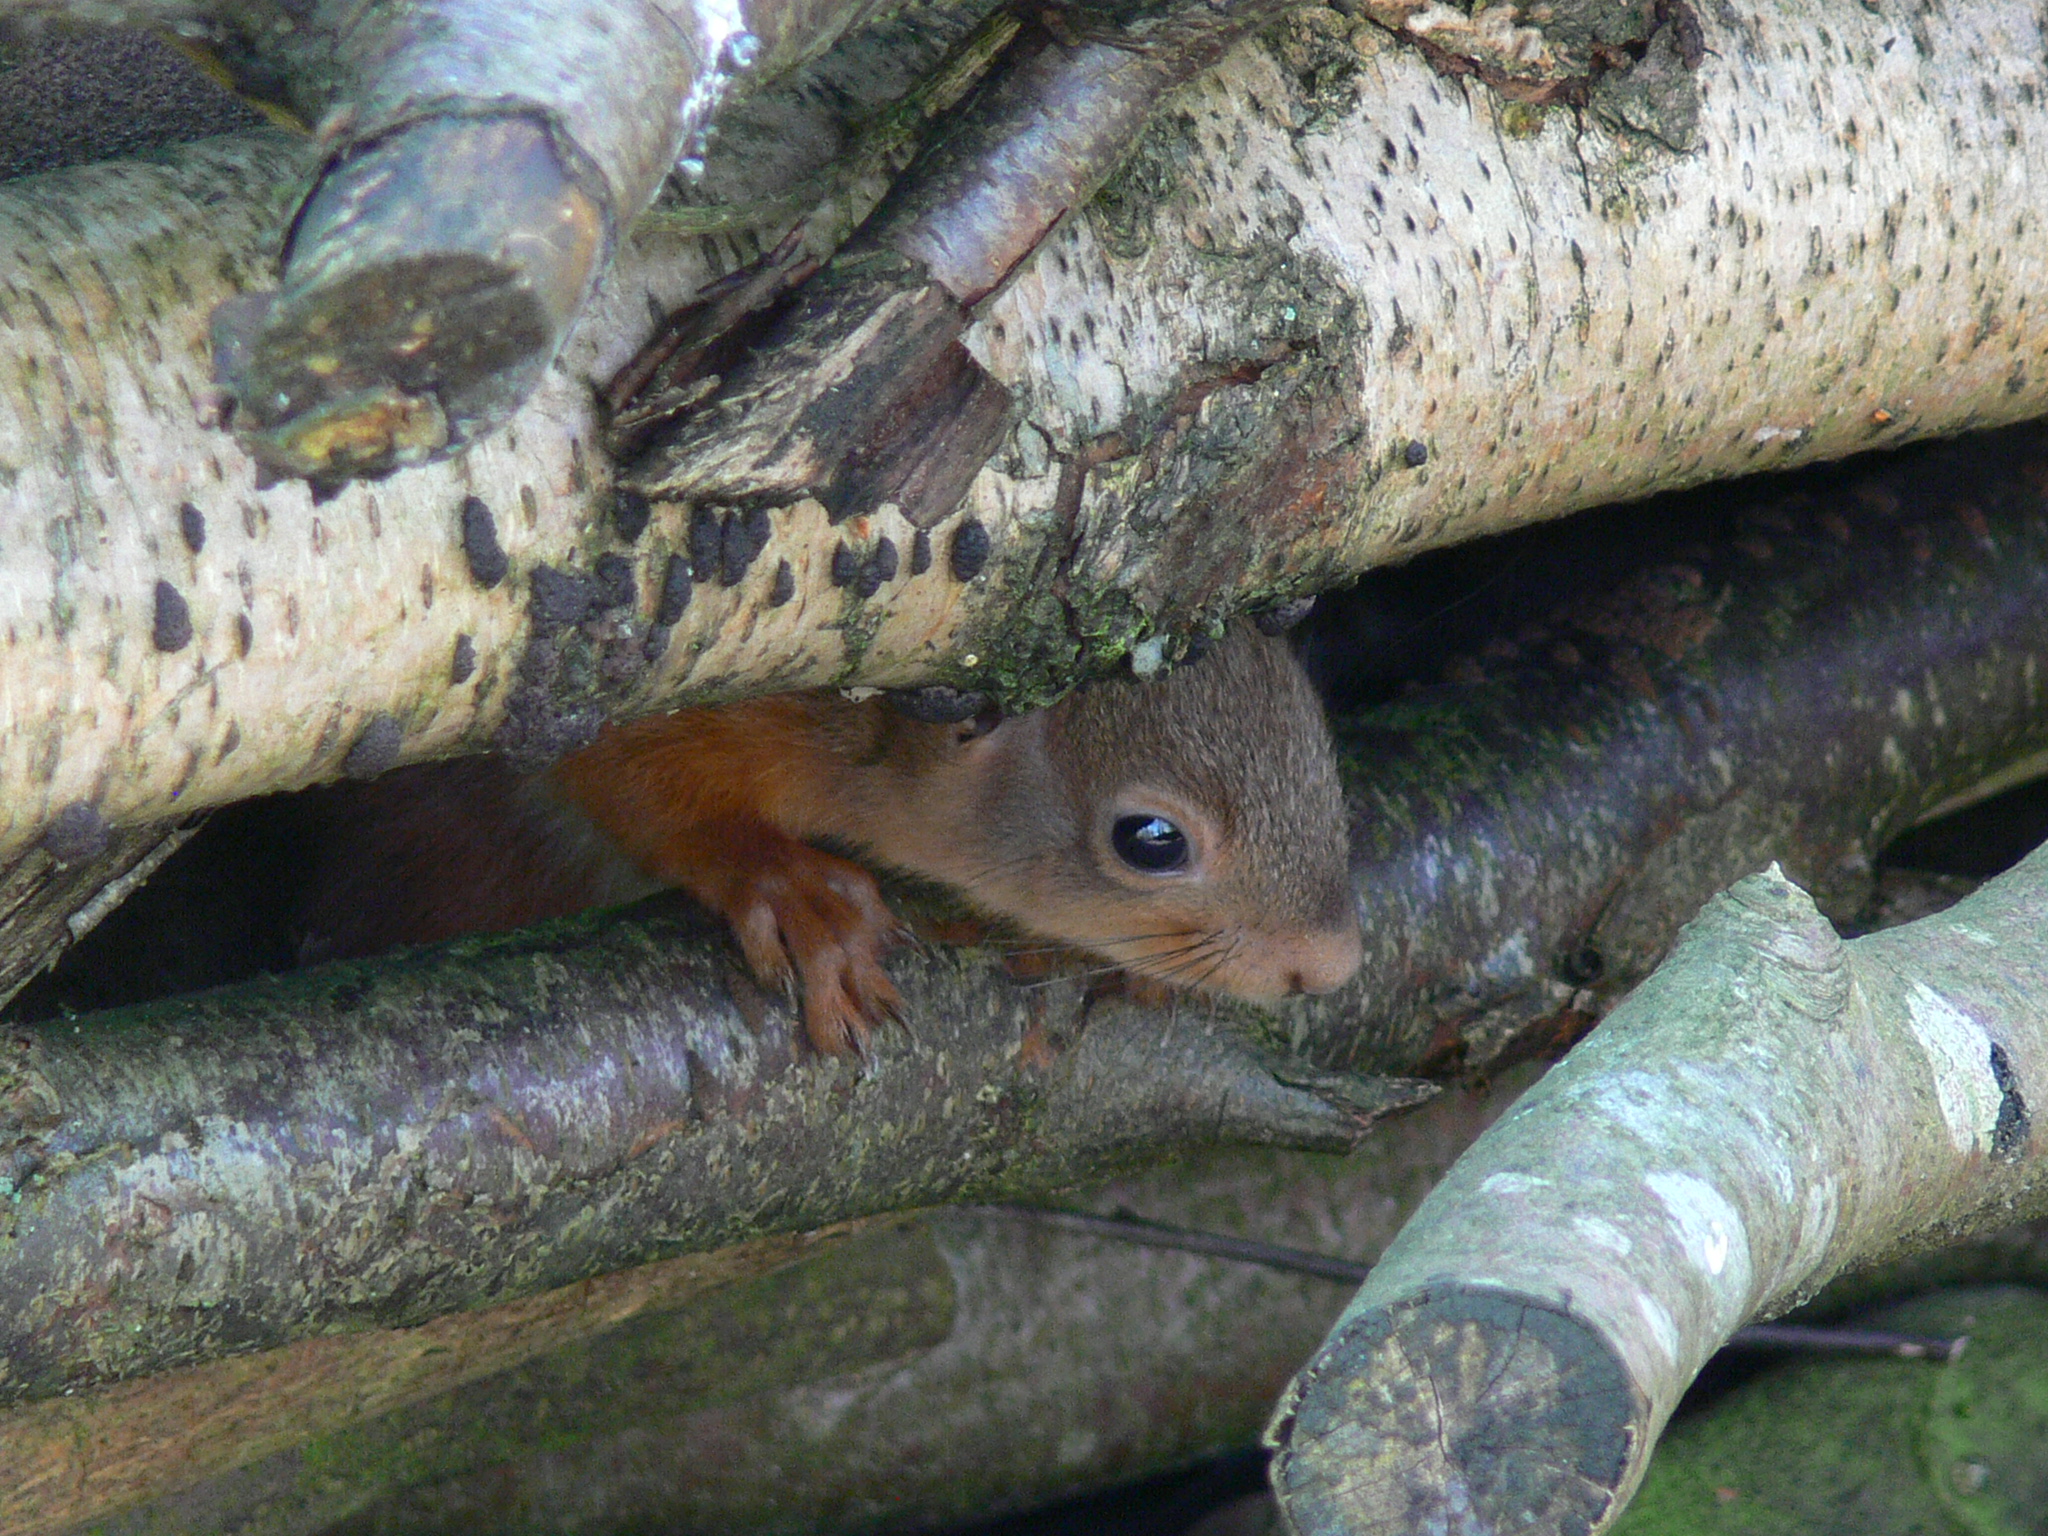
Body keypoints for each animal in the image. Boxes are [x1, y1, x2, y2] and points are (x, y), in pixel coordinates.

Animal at [299, 622, 1359, 1048]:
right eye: (1150, 840)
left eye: (1316, 724)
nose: (1330, 964)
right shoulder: (690, 703)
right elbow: (634, 780)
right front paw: (791, 892)